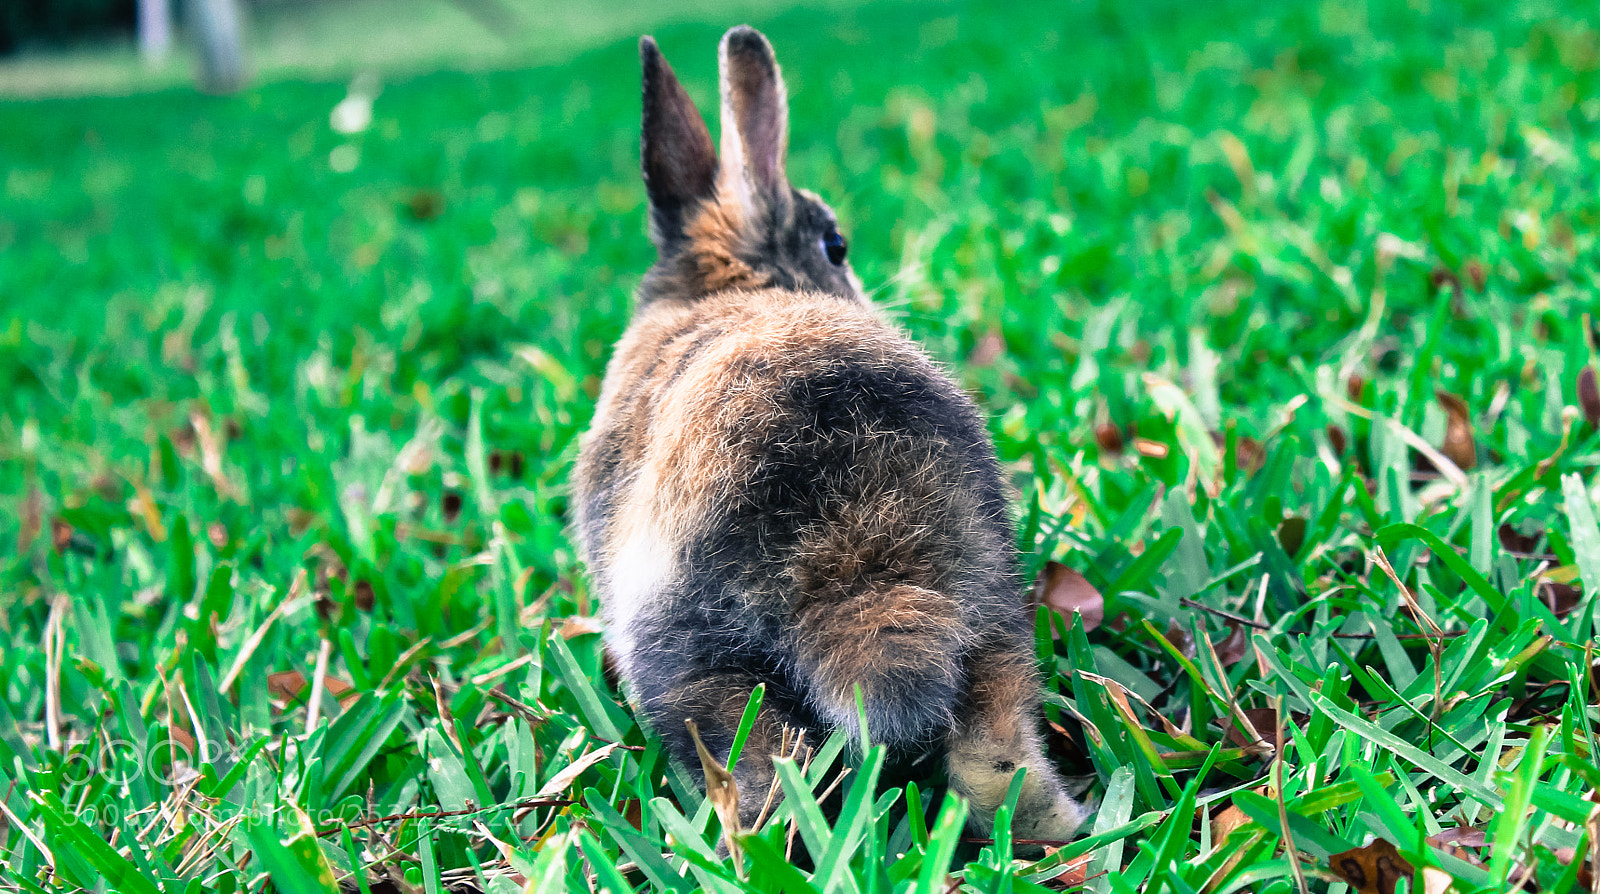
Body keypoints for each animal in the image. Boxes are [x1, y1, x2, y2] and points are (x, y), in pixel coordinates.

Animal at [571, 25, 1087, 845]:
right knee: (996, 762)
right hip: (991, 608)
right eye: (837, 245)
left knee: (766, 781)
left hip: (698, 659)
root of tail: (857, 550)